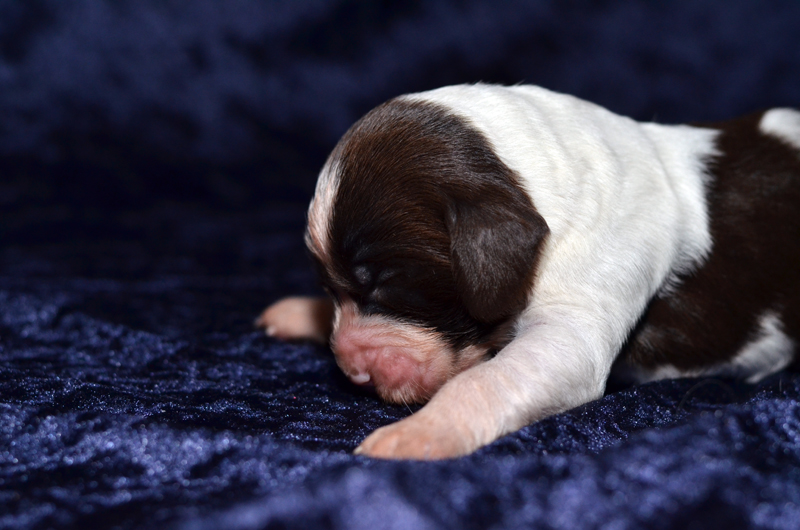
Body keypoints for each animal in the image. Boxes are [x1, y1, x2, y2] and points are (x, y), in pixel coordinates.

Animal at [258, 83, 800, 458]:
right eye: (329, 287)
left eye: (388, 286)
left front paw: (414, 434)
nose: (352, 370)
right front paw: (298, 312)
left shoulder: (576, 322)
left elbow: (483, 382)